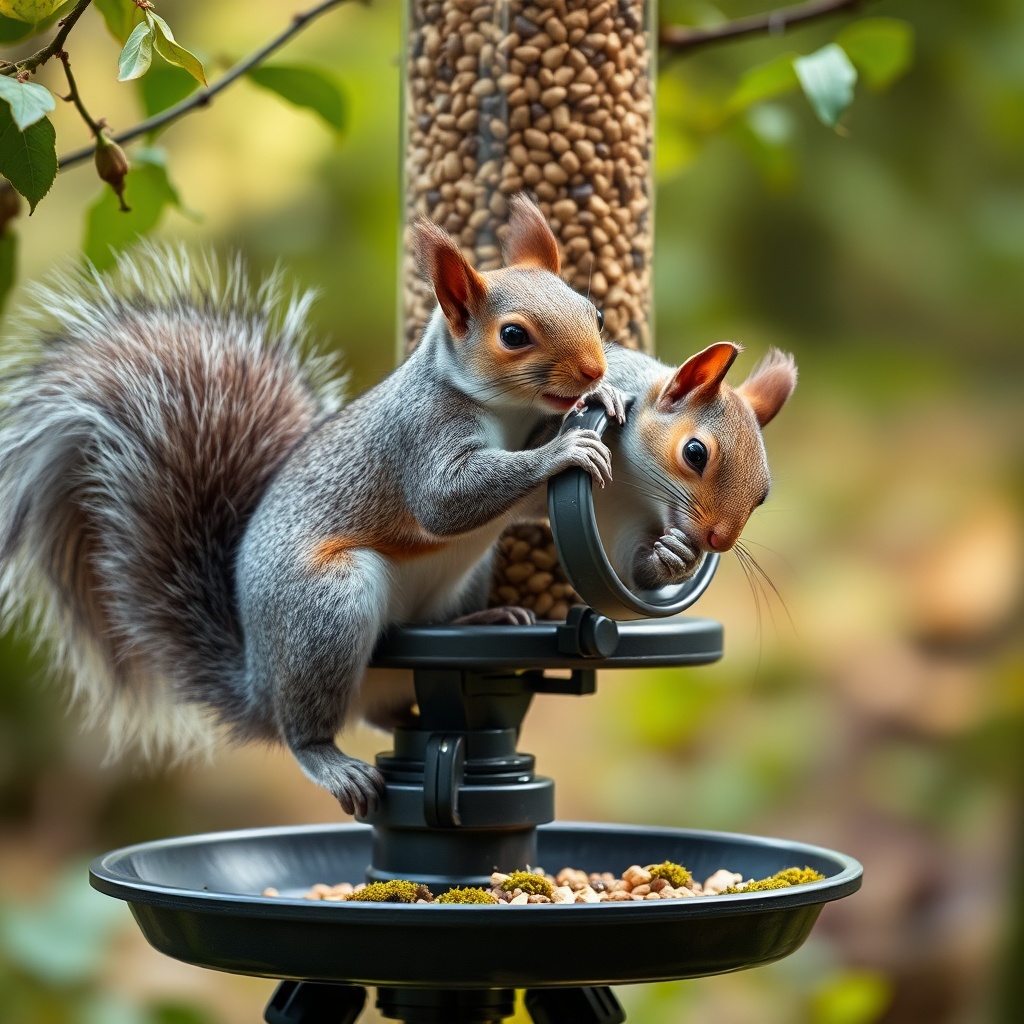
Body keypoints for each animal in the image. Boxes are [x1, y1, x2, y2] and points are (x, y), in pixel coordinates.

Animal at [0, 196, 625, 817]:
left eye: (594, 314)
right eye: (513, 335)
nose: (595, 369)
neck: (509, 414)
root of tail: (259, 681)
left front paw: (603, 399)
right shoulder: (421, 435)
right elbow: (446, 503)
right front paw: (563, 448)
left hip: (457, 582)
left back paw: (482, 620)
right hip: (327, 608)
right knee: (306, 726)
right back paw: (329, 760)